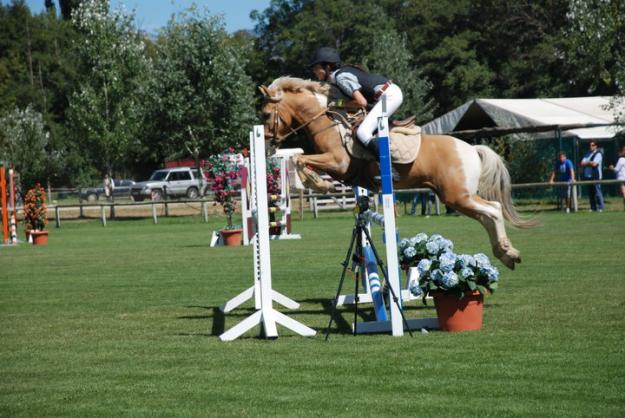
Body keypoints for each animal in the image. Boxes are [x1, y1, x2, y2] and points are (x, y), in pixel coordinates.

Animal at [258, 76, 532, 270]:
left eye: (266, 114)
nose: (268, 147)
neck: (326, 123)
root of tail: (471, 149)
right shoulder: (337, 168)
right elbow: (302, 160)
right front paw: (317, 184)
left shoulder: (338, 162)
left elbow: (298, 158)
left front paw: (320, 186)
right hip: (458, 198)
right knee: (486, 216)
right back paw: (504, 254)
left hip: (458, 196)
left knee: (494, 209)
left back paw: (509, 252)